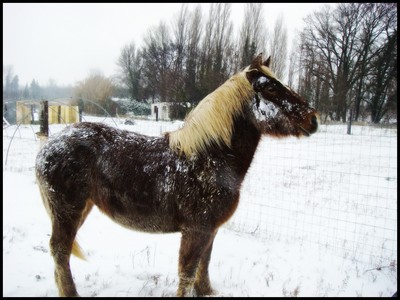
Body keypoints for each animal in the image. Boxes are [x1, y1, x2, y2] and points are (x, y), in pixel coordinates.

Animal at [36, 53, 320, 296]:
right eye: (270, 88)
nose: (313, 120)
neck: (210, 157)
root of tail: (49, 146)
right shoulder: (196, 230)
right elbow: (188, 271)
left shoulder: (210, 230)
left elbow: (204, 265)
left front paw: (207, 292)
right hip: (68, 210)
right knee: (60, 250)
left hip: (82, 208)